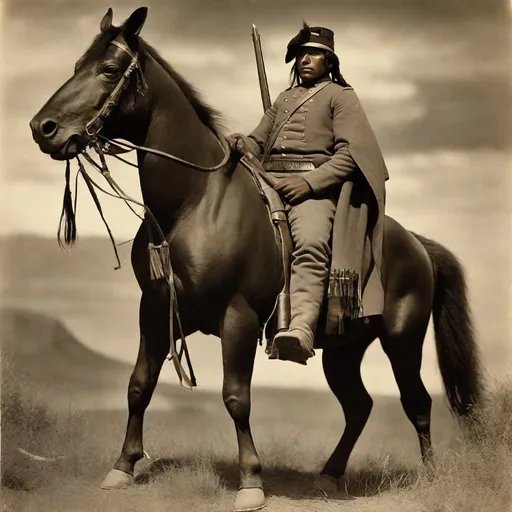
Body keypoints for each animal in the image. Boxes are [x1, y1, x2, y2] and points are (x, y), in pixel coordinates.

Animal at [30, 8, 482, 512]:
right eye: (78, 65)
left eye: (109, 69)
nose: (43, 128)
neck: (195, 202)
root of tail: (417, 244)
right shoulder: (157, 310)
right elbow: (139, 384)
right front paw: (123, 467)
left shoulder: (239, 317)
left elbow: (236, 397)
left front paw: (250, 482)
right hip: (344, 349)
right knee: (359, 406)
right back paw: (328, 476)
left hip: (402, 340)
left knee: (417, 401)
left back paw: (429, 476)